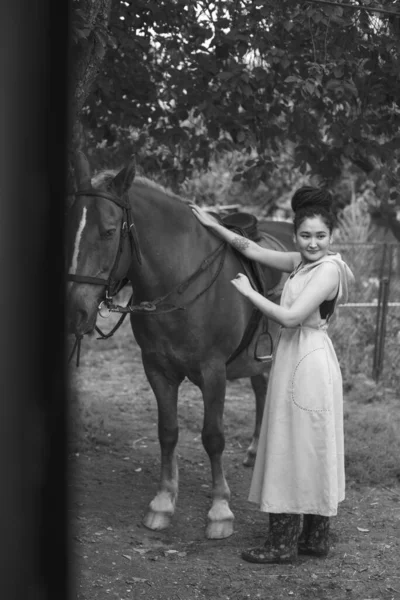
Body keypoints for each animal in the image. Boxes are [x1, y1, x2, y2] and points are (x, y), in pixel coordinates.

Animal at [67, 154, 296, 540]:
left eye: (109, 232)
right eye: (72, 231)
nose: (75, 310)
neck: (180, 281)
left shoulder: (213, 372)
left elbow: (213, 437)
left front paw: (220, 510)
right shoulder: (157, 370)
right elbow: (168, 433)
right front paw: (162, 502)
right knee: (262, 389)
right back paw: (254, 452)